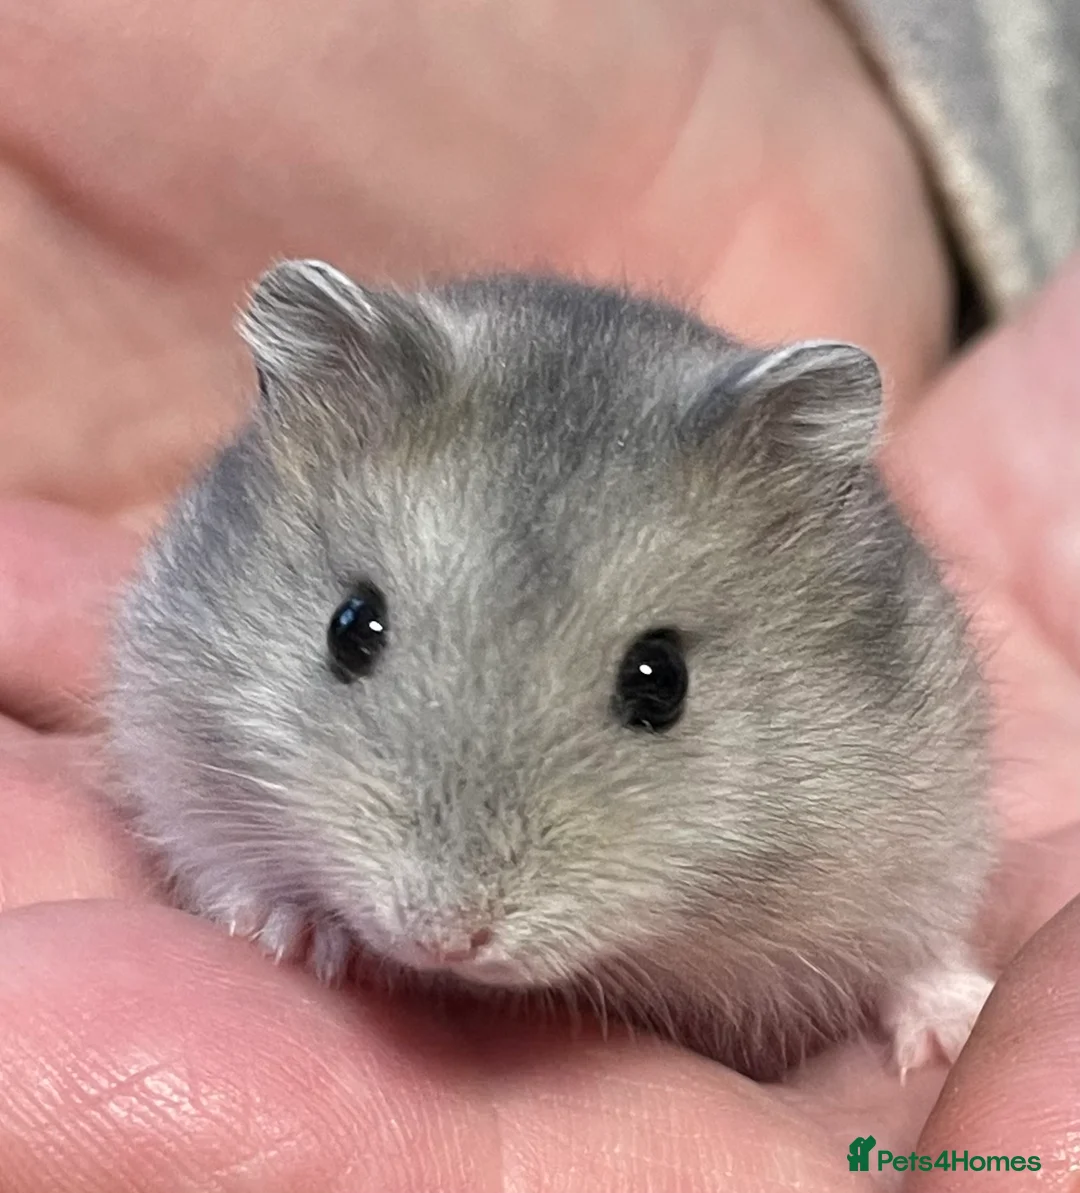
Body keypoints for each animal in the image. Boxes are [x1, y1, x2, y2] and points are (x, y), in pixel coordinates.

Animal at [107, 261, 995, 1079]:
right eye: (351, 627)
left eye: (660, 679)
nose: (447, 937)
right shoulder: (170, 742)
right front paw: (295, 937)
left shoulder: (928, 824)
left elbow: (918, 946)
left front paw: (952, 1032)